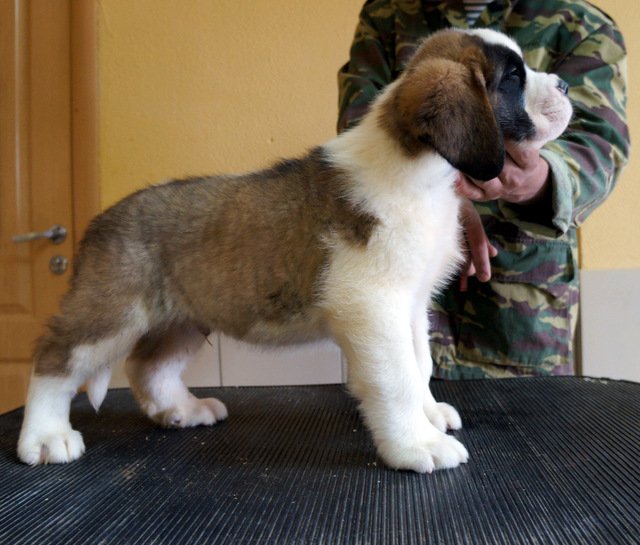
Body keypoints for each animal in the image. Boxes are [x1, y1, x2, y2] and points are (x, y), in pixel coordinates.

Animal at [17, 28, 572, 472]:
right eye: (513, 78)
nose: (566, 86)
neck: (420, 170)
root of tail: (103, 218)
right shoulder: (372, 305)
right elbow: (397, 377)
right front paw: (417, 445)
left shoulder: (410, 303)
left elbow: (420, 365)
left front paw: (429, 415)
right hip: (110, 309)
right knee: (55, 357)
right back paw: (45, 437)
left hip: (184, 315)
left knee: (149, 366)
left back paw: (182, 410)